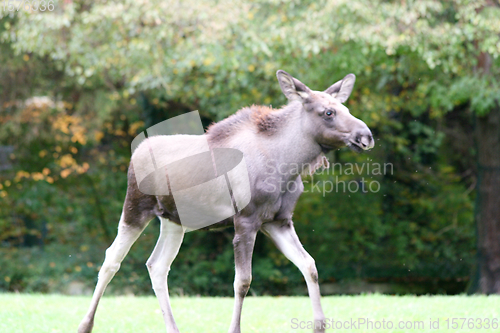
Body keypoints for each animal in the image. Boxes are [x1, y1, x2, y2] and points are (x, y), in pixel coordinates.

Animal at [78, 68, 374, 330]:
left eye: (346, 108)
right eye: (328, 112)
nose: (366, 136)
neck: (288, 165)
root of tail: (136, 151)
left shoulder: (278, 221)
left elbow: (309, 265)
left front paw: (320, 326)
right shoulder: (245, 220)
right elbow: (243, 281)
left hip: (173, 221)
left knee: (157, 265)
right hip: (135, 208)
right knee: (111, 260)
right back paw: (85, 324)